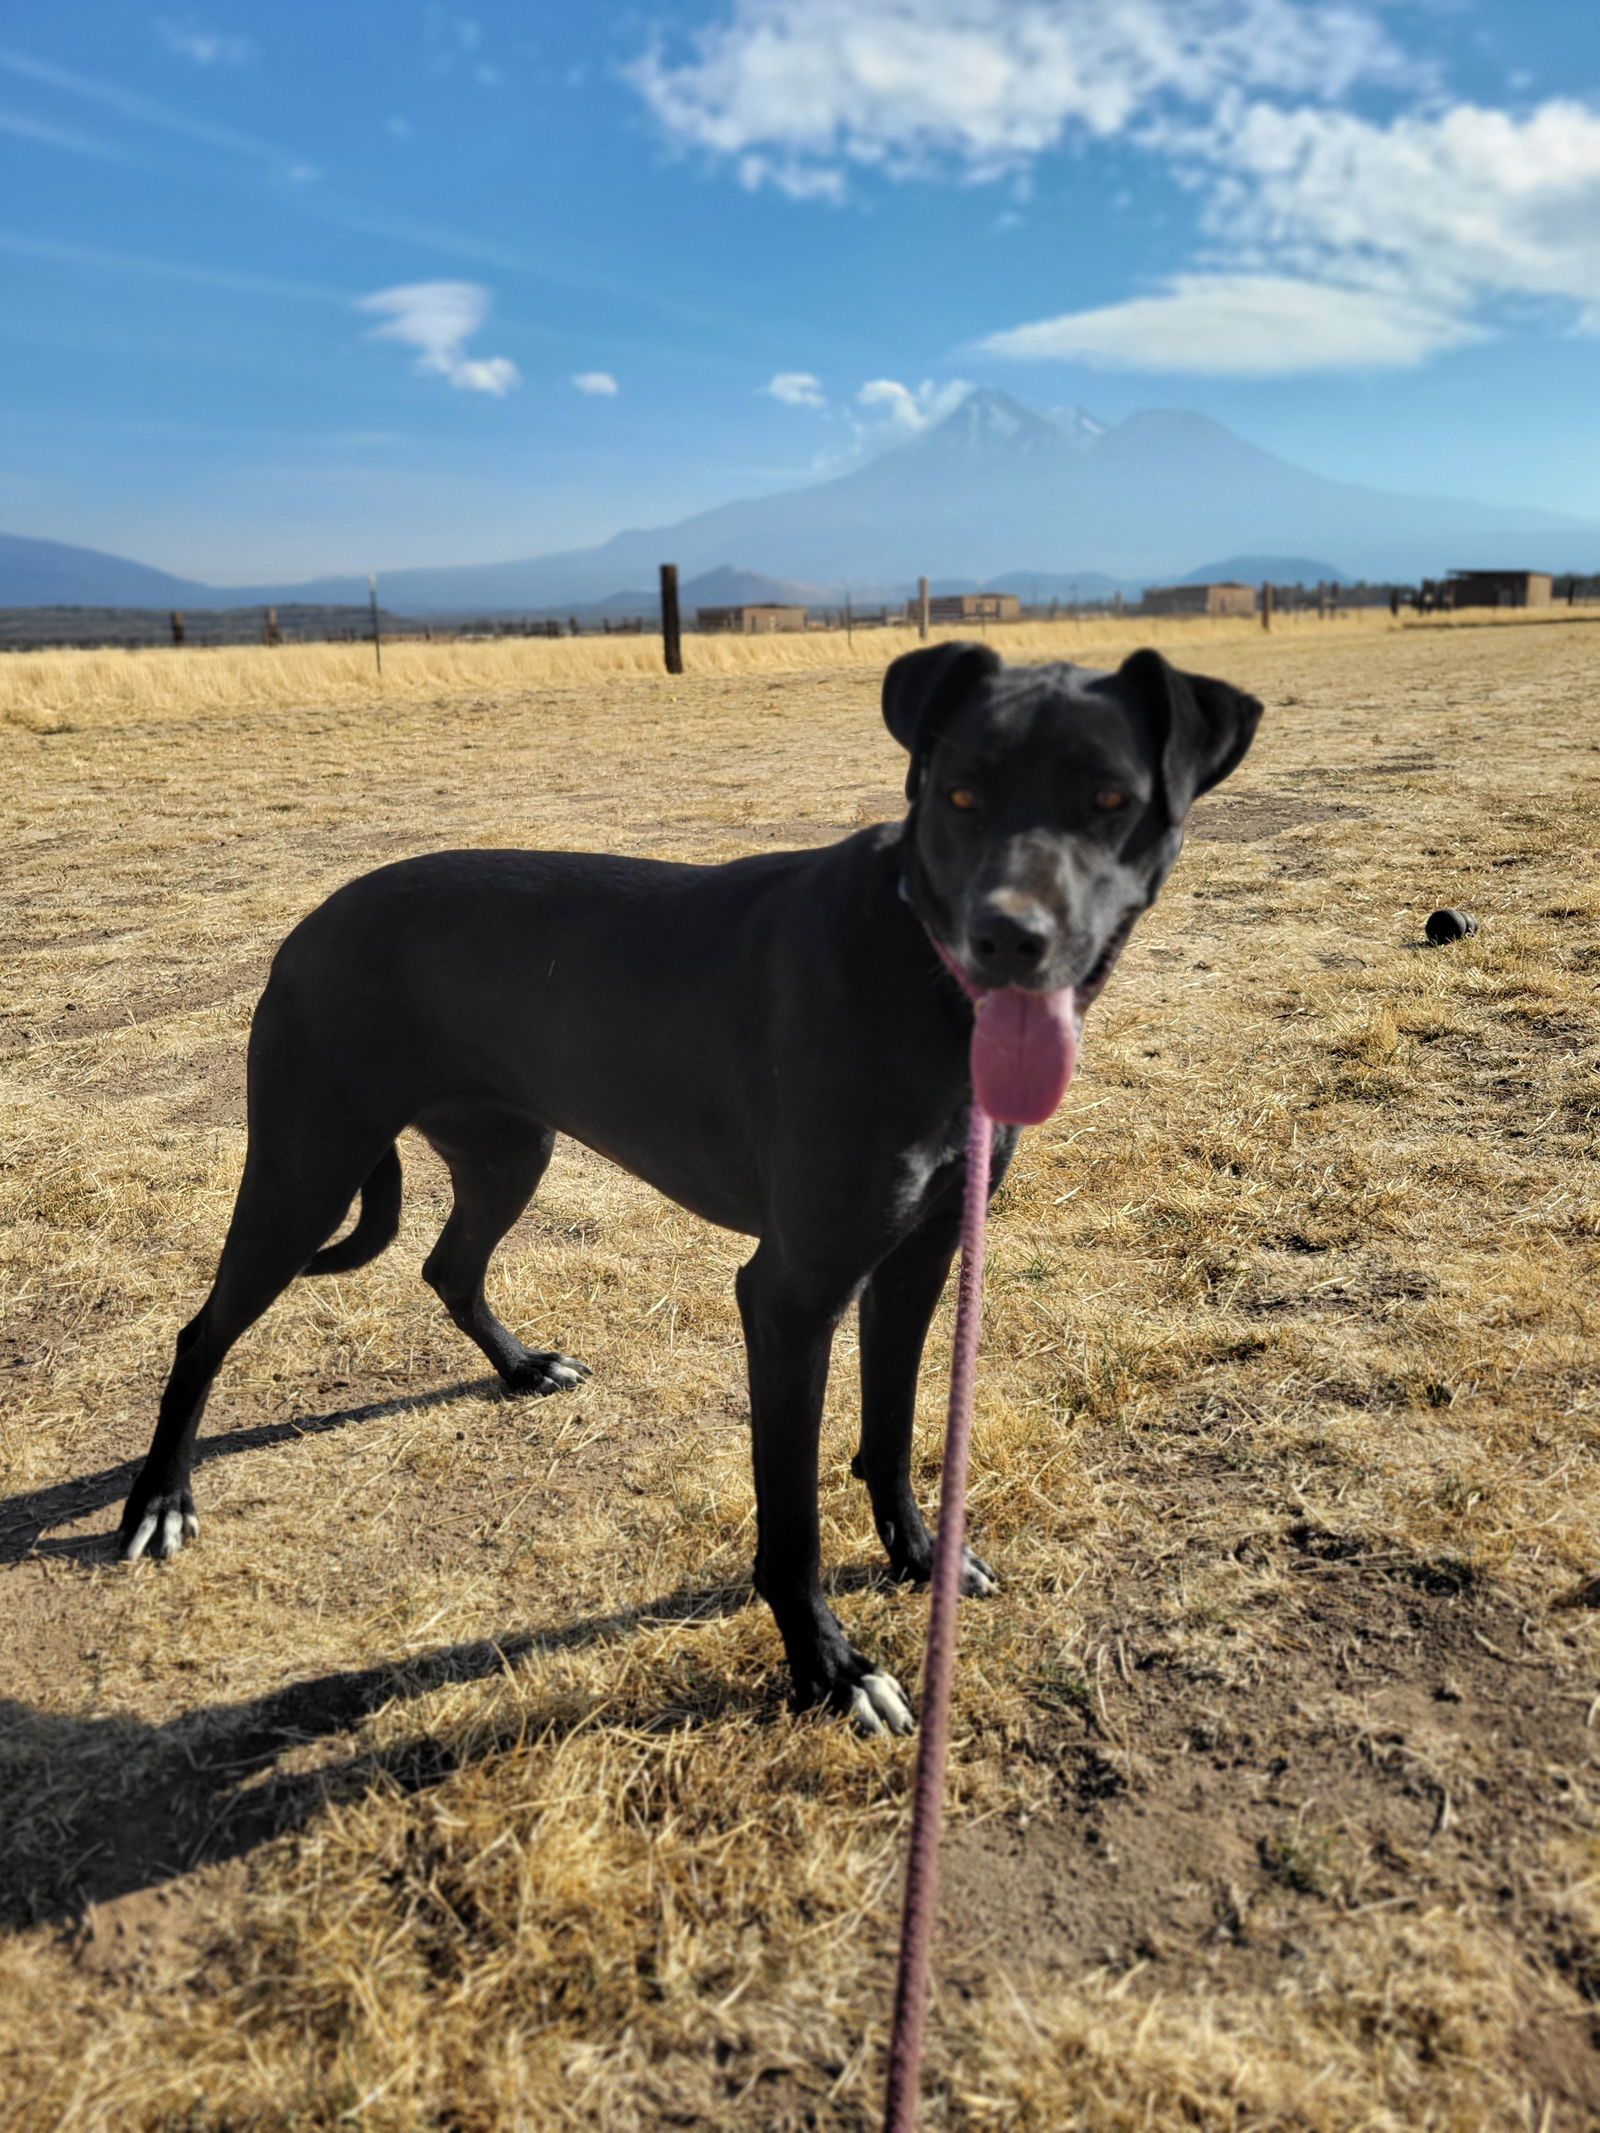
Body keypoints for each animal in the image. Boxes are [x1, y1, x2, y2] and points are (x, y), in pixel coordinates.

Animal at [118, 635, 1262, 1731]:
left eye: (1110, 799)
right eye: (960, 796)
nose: (1009, 938)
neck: (917, 967)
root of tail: (308, 927)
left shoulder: (920, 1255)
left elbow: (892, 1433)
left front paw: (919, 1560)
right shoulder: (791, 1295)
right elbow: (790, 1523)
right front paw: (831, 1670)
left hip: (507, 1149)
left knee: (449, 1265)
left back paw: (520, 1366)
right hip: (306, 1168)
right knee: (203, 1330)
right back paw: (160, 1499)